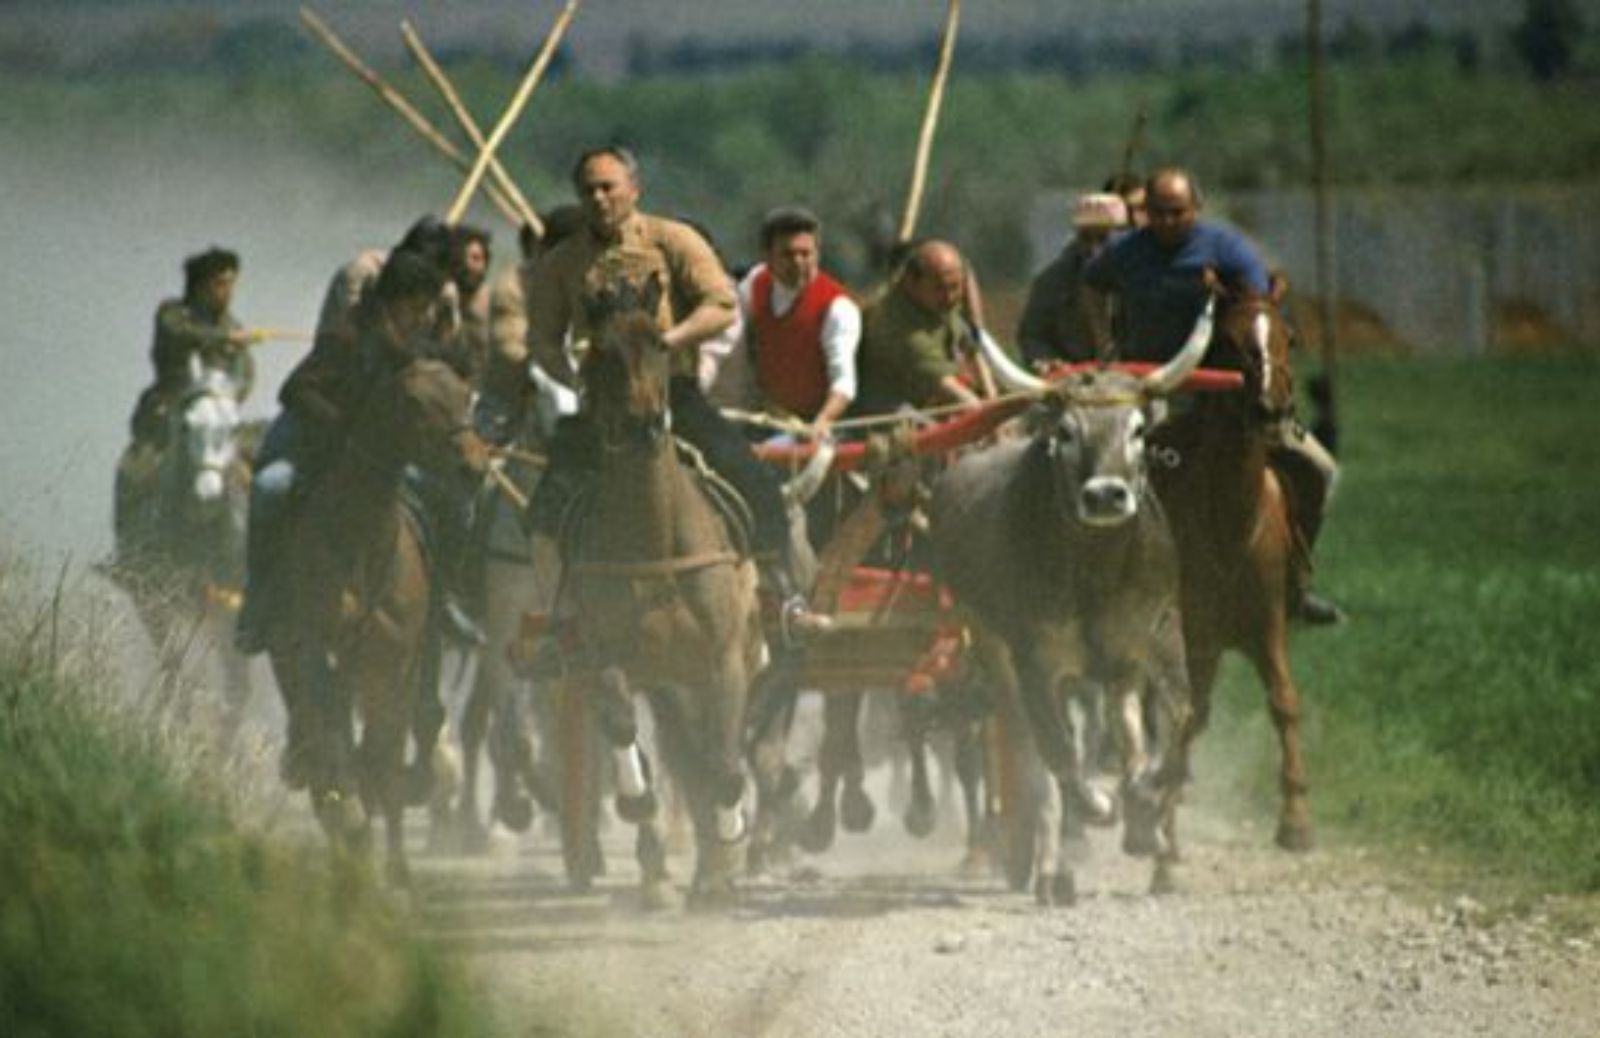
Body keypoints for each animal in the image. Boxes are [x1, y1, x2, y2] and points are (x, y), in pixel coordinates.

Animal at [111, 359, 254, 732]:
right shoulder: (152, 600)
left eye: (233, 427)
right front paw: (171, 721)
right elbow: (172, 664)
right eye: (187, 425)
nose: (208, 496)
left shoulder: (228, 615)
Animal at [267, 356, 486, 882]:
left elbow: (387, 752)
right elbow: (334, 738)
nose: (473, 466)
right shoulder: (315, 649)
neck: (360, 543)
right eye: (415, 403)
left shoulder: (396, 662)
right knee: (318, 732)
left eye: (465, 395)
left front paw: (397, 869)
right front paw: (351, 823)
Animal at [563, 275, 761, 908]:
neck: (655, 538)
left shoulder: (725, 660)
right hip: (666, 682)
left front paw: (730, 837)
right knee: (678, 753)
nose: (643, 427)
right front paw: (638, 804)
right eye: (600, 350)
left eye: (658, 341)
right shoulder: (611, 657)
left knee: (708, 756)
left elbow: (725, 764)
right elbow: (629, 734)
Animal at [1158, 276, 1318, 850]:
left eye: (1289, 338)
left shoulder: (1265, 625)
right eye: (1227, 341)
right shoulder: (1186, 628)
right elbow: (1182, 711)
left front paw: (1295, 816)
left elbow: (1283, 701)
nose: (1271, 409)